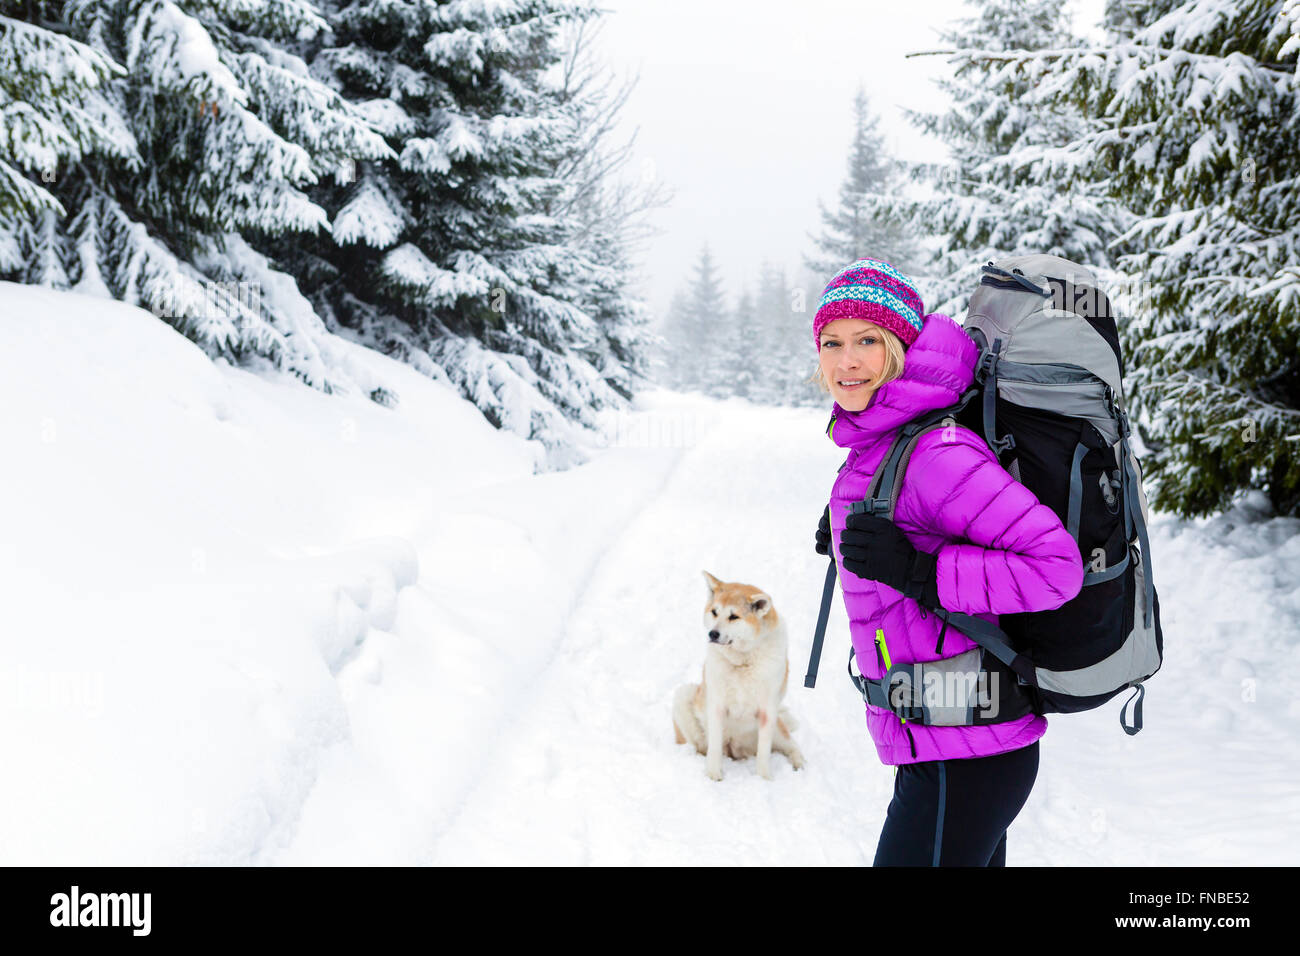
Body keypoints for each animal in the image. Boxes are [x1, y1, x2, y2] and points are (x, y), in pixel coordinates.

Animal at [670, 572, 800, 780]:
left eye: (734, 617)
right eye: (714, 612)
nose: (712, 634)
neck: (742, 660)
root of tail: (736, 751)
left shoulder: (768, 711)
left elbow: (764, 753)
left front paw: (764, 780)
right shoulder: (716, 705)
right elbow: (714, 748)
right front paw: (713, 776)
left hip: (777, 730)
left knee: (792, 747)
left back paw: (800, 765)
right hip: (685, 696)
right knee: (702, 747)